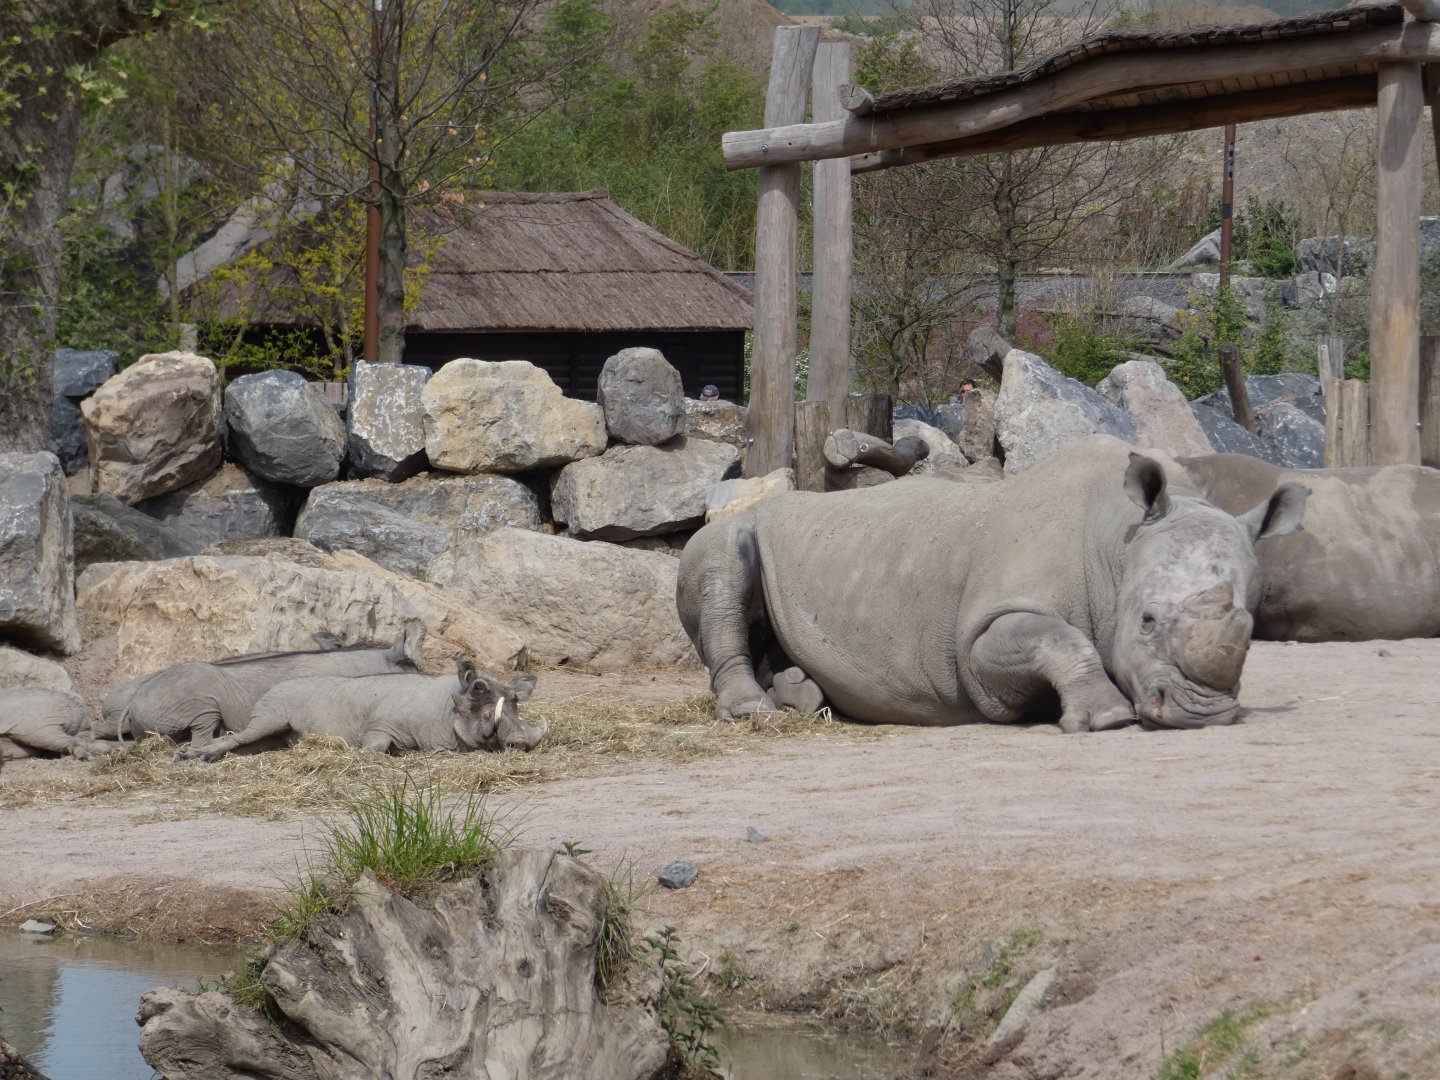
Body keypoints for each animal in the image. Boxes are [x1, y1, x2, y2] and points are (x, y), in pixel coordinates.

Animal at [176, 661, 543, 761]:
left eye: (516, 699)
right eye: (478, 689)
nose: (524, 742)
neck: (443, 710)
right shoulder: (379, 728)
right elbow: (376, 748)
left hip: (275, 737)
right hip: (268, 719)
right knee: (234, 739)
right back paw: (192, 756)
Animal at [677, 435, 1307, 731]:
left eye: (1250, 626)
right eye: (1147, 621)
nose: (1202, 713)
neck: (1117, 544)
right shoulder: (980, 640)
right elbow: (1061, 640)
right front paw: (1108, 718)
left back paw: (801, 696)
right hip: (722, 534)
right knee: (722, 563)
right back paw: (751, 712)